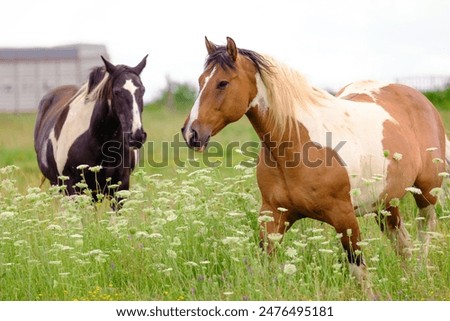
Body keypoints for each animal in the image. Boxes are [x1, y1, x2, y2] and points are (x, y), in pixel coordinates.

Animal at [183, 37, 450, 296]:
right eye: (200, 81)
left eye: (222, 83)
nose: (191, 133)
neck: (296, 144)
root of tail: (421, 100)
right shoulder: (273, 215)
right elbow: (266, 263)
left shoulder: (345, 218)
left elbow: (359, 269)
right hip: (385, 204)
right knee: (404, 246)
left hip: (426, 194)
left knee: (425, 234)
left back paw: (421, 275)